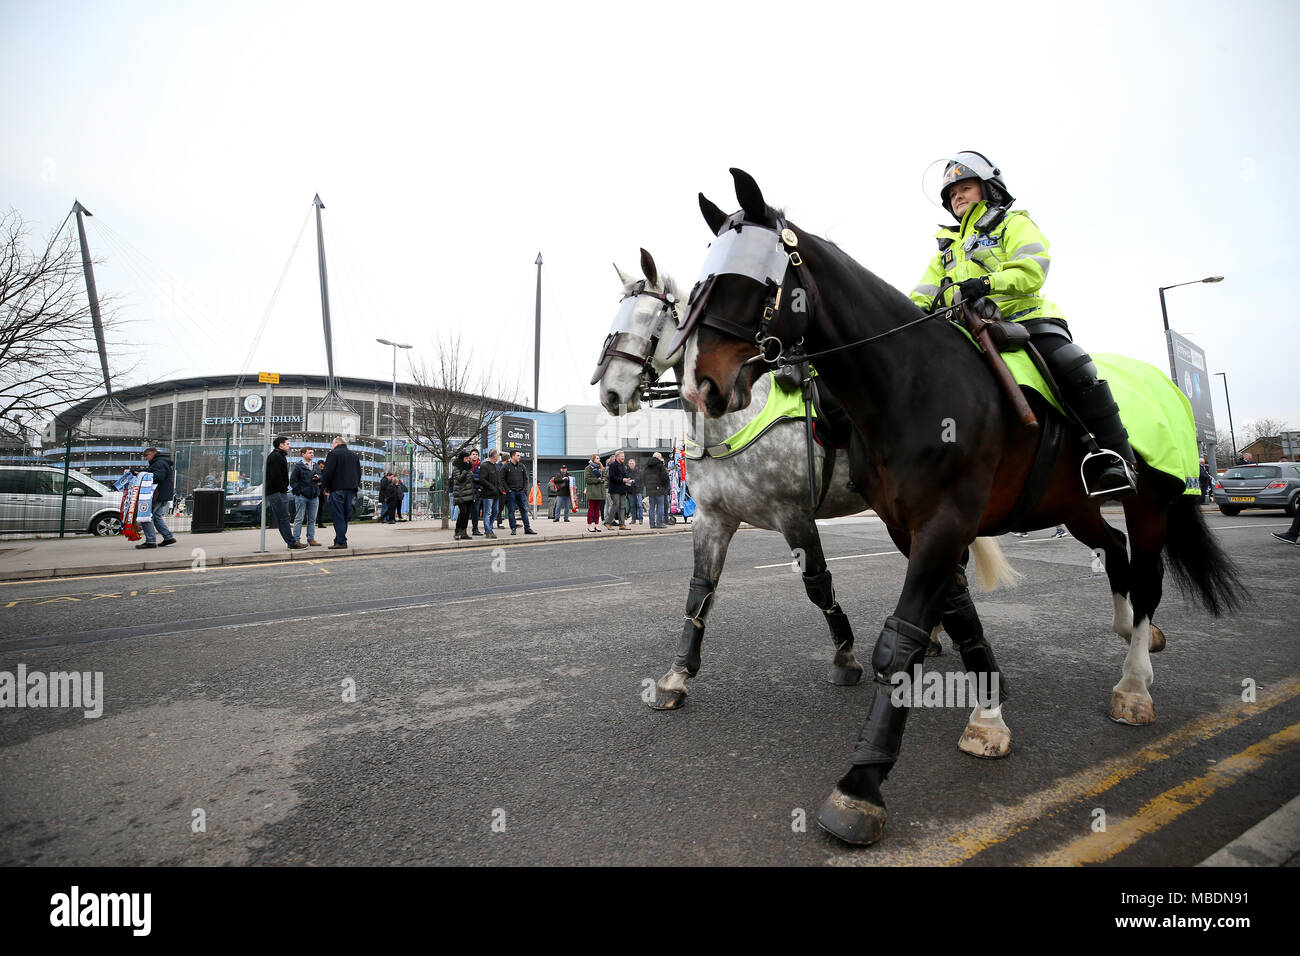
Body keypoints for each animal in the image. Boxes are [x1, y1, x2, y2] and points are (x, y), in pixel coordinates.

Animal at [595, 244, 1019, 749]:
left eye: (650, 316)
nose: (610, 391)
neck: (739, 417)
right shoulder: (713, 519)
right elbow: (701, 592)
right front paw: (676, 676)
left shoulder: (794, 516)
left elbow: (818, 585)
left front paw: (845, 656)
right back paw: (936, 633)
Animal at [670, 167, 1248, 848]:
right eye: (699, 287)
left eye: (753, 284)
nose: (701, 388)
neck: (909, 383)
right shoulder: (908, 528)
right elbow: (959, 617)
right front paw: (988, 713)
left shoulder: (943, 523)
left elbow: (899, 641)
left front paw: (861, 786)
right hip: (1074, 506)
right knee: (1116, 554)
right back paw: (1129, 627)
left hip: (1151, 500)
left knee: (1150, 574)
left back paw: (1133, 683)